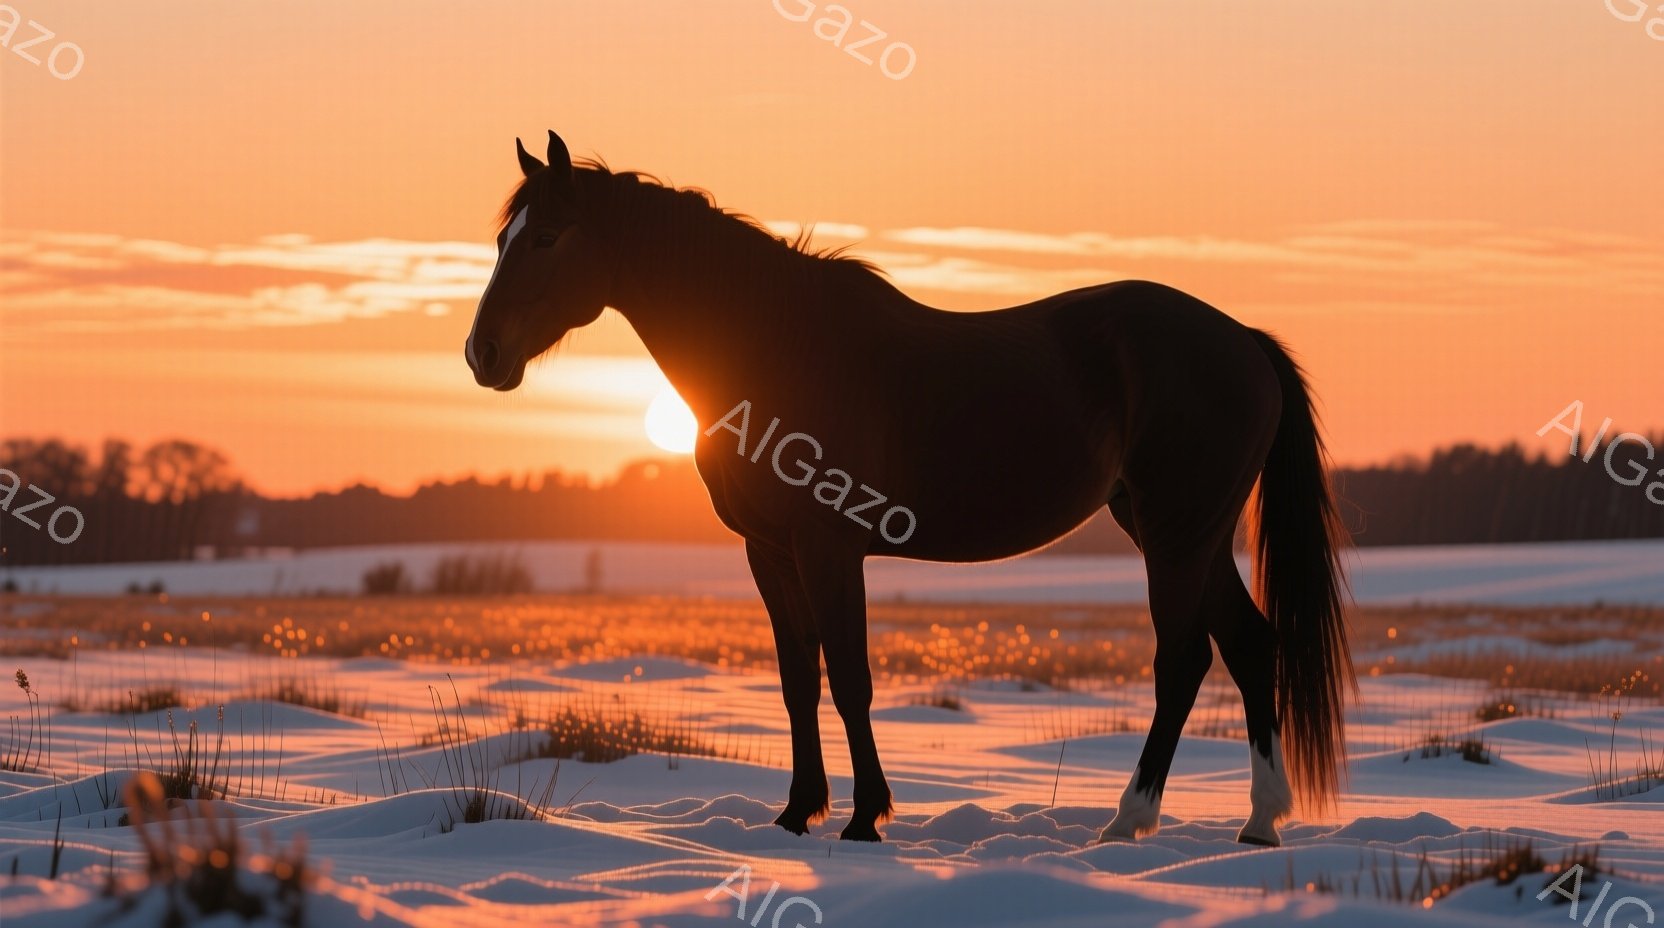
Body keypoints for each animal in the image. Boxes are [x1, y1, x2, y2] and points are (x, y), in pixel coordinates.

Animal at [466, 131, 1354, 846]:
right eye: (504, 235)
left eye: (547, 237)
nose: (483, 353)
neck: (777, 347)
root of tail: (1243, 341)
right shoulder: (769, 552)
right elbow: (798, 682)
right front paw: (796, 814)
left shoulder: (830, 547)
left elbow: (851, 679)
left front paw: (865, 818)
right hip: (1179, 528)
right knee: (1250, 645)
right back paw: (1258, 822)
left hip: (1176, 531)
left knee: (1183, 659)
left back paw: (1128, 821)